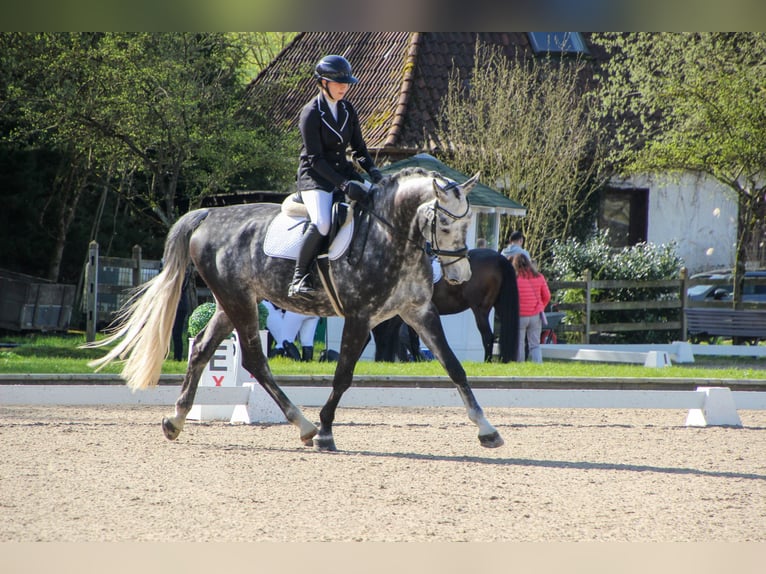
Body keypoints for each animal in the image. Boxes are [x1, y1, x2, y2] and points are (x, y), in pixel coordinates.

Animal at [374, 249, 520, 364]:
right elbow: (413, 338)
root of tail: (499, 258)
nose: (377, 360)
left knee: (488, 336)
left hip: (480, 310)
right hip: (499, 307)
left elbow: (390, 334)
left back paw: (487, 362)